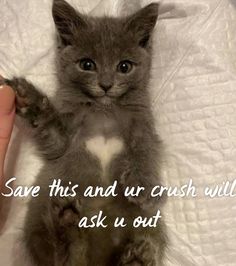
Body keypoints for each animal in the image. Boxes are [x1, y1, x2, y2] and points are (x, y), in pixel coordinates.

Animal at [4, 0, 166, 264]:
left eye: (124, 66)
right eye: (87, 65)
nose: (106, 85)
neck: (103, 111)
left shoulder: (144, 125)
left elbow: (146, 150)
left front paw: (143, 185)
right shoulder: (64, 138)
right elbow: (53, 132)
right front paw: (29, 97)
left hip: (150, 225)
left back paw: (136, 257)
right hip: (37, 219)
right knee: (61, 257)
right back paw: (67, 223)